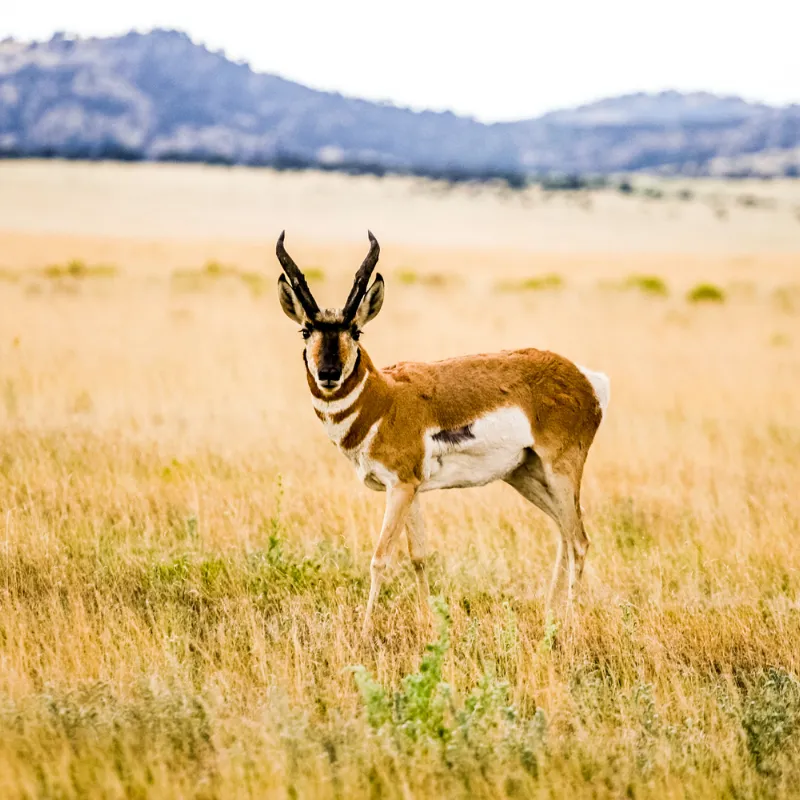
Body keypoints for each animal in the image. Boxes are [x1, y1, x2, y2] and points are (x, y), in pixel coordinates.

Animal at [278, 233, 608, 636]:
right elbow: (418, 555)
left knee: (579, 540)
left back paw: (569, 623)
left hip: (560, 473)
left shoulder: (400, 487)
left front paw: (366, 631)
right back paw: (550, 614)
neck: (386, 398)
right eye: (306, 329)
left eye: (355, 330)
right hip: (526, 475)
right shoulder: (411, 490)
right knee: (564, 532)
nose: (328, 373)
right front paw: (429, 624)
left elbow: (380, 557)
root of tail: (584, 378)